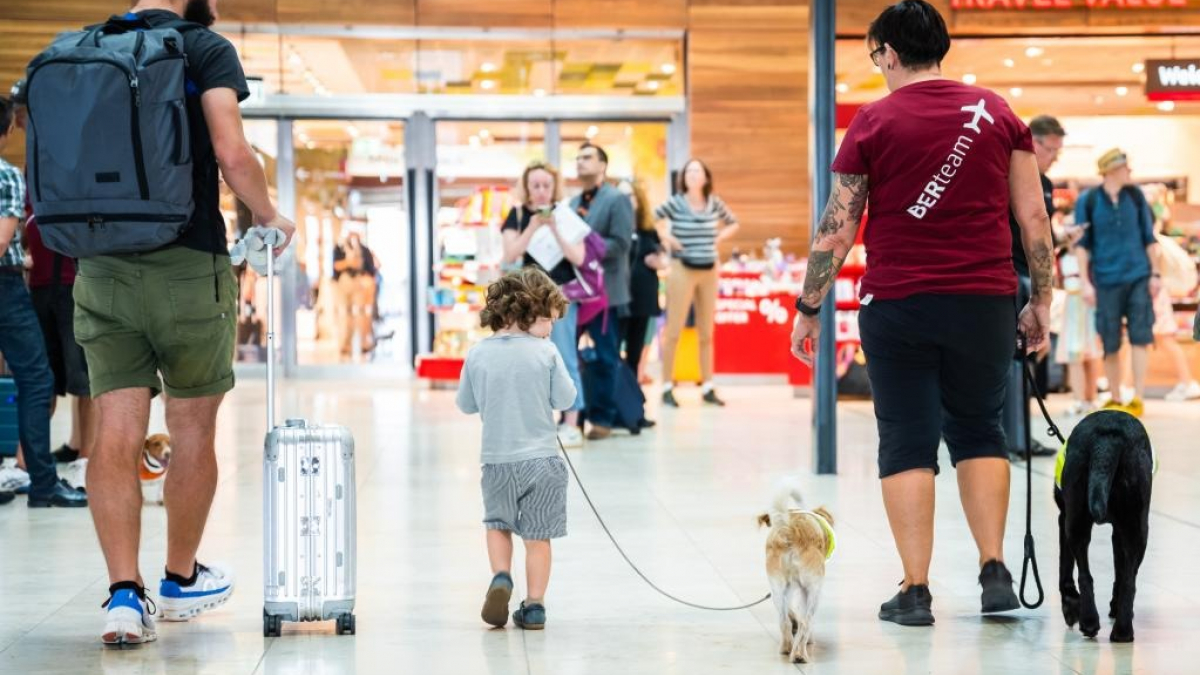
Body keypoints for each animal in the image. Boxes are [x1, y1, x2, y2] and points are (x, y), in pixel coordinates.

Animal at [758, 482, 835, 662]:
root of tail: (789, 529)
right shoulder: (804, 589)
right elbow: (804, 619)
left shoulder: (789, 588)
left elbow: (790, 612)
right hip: (813, 591)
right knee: (806, 623)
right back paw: (800, 654)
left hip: (778, 589)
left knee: (783, 620)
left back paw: (786, 648)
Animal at [1060, 408, 1152, 638]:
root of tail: (1107, 437)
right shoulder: (1120, 531)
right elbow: (1122, 572)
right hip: (1138, 528)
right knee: (1128, 580)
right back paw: (1118, 630)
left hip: (1076, 521)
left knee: (1087, 575)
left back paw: (1094, 624)